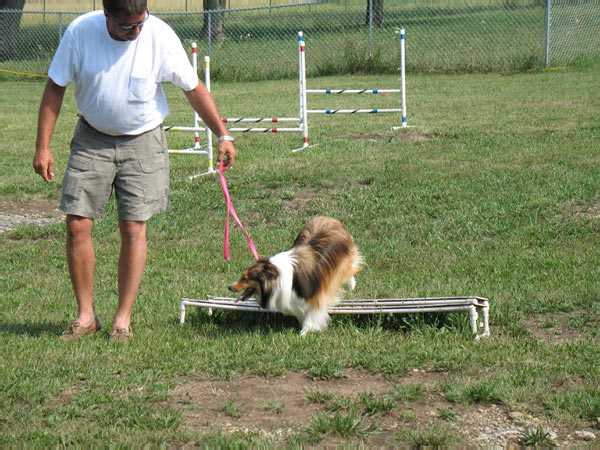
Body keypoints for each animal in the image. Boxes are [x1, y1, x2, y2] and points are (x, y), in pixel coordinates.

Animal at [229, 216, 360, 336]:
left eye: (245, 278)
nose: (229, 287)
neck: (277, 277)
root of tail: (329, 218)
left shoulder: (314, 297)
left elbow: (311, 316)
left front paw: (304, 332)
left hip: (343, 261)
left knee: (349, 270)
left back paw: (352, 285)